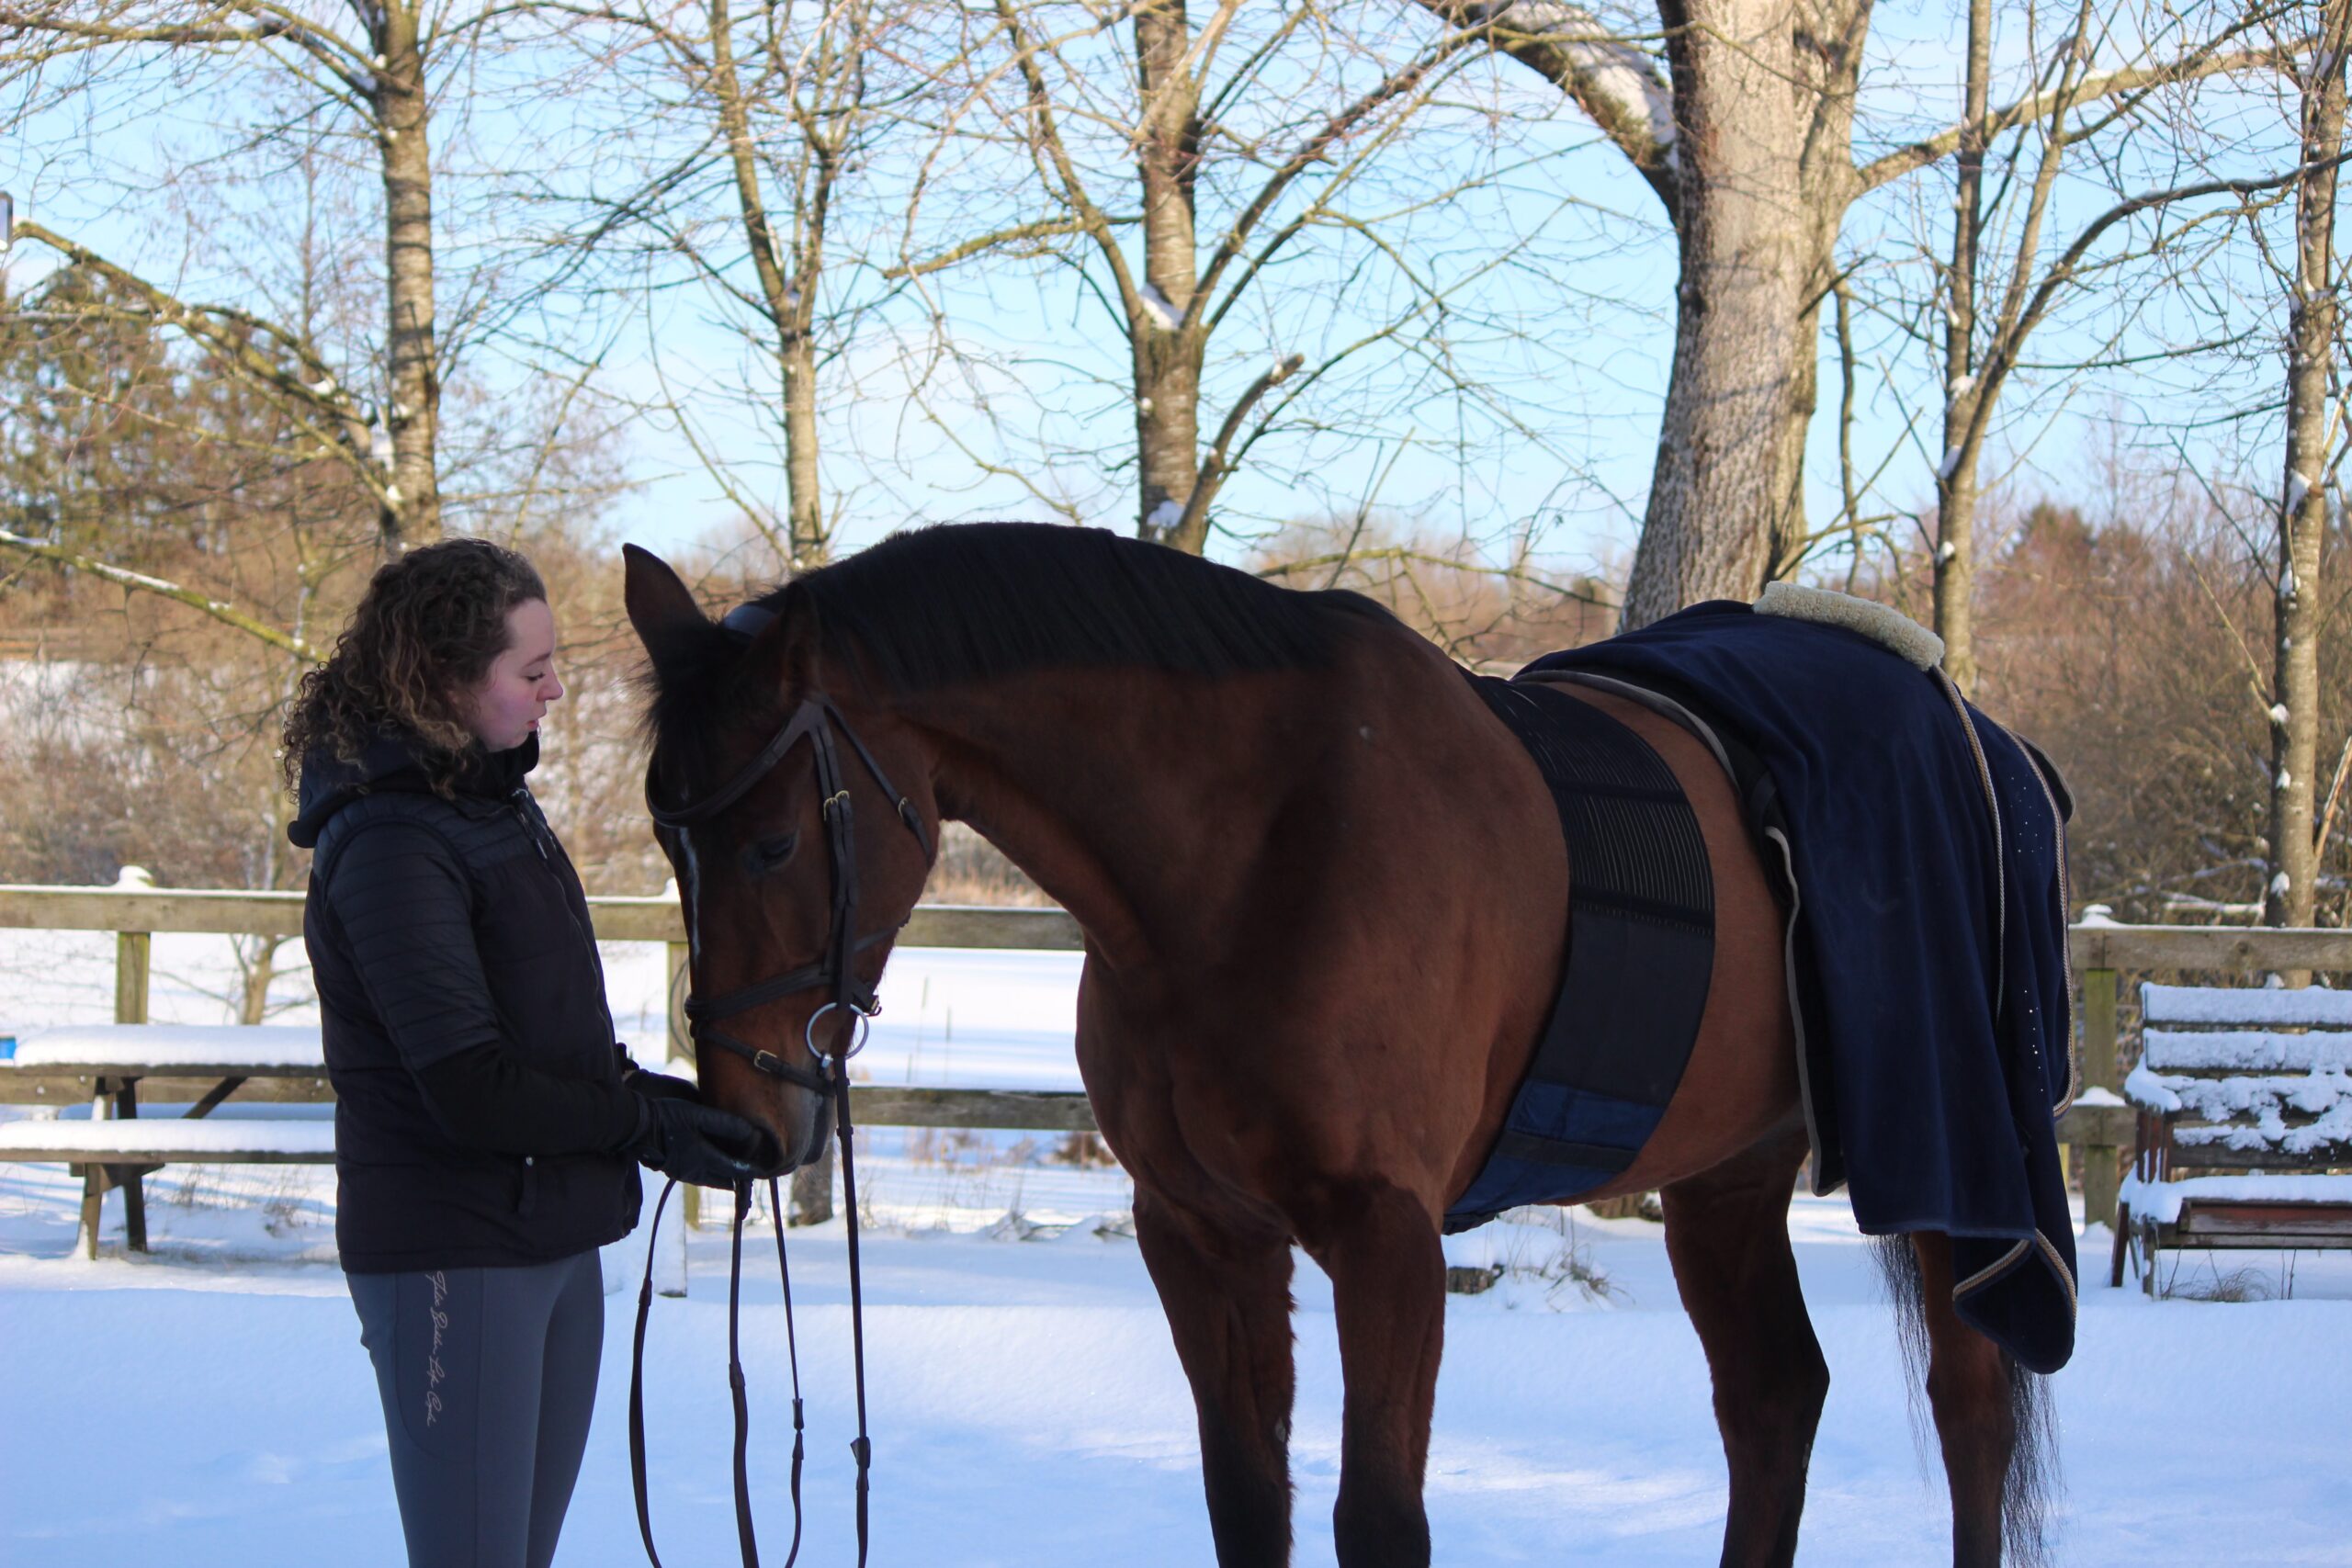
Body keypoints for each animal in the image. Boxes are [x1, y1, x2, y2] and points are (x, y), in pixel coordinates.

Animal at [622, 523, 2058, 1568]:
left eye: (770, 840)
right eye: (668, 839)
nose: (746, 1122)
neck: (1250, 846)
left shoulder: (1386, 1237)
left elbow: (1378, 1523)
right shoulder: (1200, 1232)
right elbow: (1247, 1505)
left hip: (1953, 1175)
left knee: (1972, 1413)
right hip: (1726, 1178)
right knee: (1772, 1402)